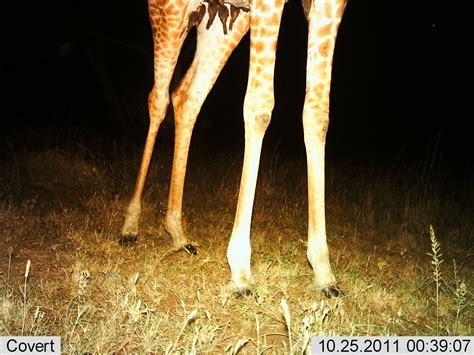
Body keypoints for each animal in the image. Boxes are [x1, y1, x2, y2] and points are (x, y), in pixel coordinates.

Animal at [121, 0, 344, 298]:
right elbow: (259, 106)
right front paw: (240, 270)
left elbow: (317, 113)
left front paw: (323, 272)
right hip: (169, 13)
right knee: (158, 98)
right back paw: (130, 225)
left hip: (221, 22)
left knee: (187, 97)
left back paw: (178, 233)